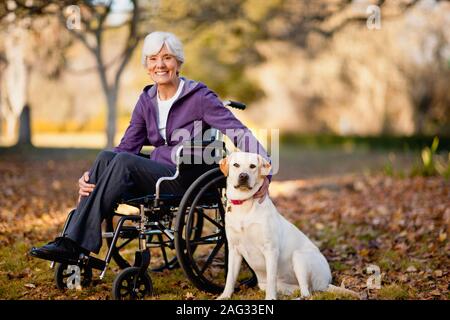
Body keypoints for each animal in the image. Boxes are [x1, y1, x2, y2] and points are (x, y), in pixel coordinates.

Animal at [218, 152, 358, 300]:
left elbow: (271, 278)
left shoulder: (271, 249)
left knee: (306, 292)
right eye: (236, 165)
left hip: (299, 257)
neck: (244, 205)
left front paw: (270, 298)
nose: (243, 176)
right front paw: (225, 295)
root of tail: (326, 283)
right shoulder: (234, 250)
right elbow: (230, 277)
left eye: (252, 166)